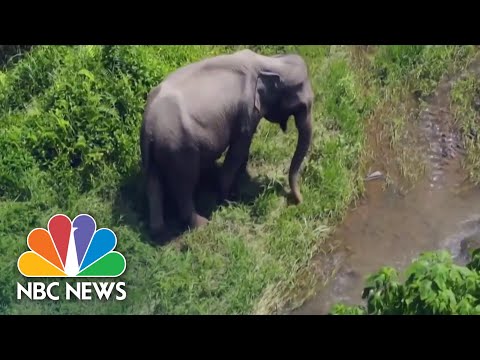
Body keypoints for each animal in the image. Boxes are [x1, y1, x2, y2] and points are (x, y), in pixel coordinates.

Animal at [141, 47, 314, 242]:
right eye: (302, 105)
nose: (298, 201)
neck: (269, 62)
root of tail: (148, 125)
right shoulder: (246, 111)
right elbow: (239, 148)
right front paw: (226, 199)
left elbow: (243, 149)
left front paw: (240, 184)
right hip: (180, 149)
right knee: (184, 186)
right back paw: (203, 224)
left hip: (153, 152)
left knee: (153, 183)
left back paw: (159, 233)